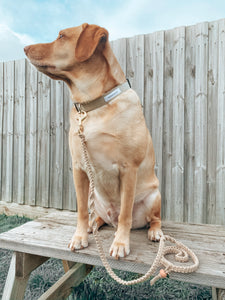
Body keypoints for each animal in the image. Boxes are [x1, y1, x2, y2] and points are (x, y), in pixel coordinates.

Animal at [24, 23, 162, 258]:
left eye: (61, 36)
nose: (25, 48)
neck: (92, 105)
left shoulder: (129, 169)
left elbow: (125, 213)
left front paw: (120, 243)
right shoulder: (79, 168)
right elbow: (80, 210)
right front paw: (79, 237)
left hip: (155, 195)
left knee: (152, 219)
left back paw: (154, 232)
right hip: (95, 196)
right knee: (98, 216)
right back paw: (93, 224)